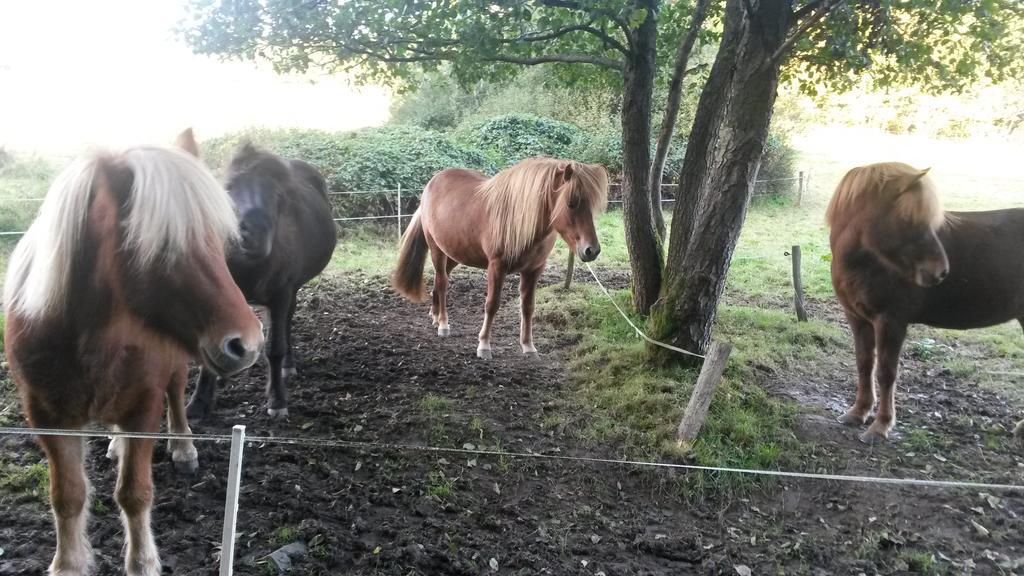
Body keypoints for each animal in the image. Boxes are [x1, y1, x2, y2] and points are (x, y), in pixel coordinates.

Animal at [4, 144, 264, 573]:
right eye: (163, 245)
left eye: (216, 239)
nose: (248, 344)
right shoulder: (48, 417)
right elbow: (67, 496)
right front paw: (69, 563)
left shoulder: (144, 406)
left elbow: (134, 493)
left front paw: (142, 562)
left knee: (177, 396)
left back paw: (183, 448)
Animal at [387, 154, 602, 356]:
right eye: (571, 203)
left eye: (592, 205)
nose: (592, 250)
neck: (519, 219)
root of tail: (432, 183)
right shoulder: (496, 267)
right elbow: (492, 304)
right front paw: (484, 345)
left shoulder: (533, 270)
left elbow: (528, 307)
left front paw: (528, 346)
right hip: (437, 249)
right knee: (442, 283)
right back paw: (443, 324)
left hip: (455, 254)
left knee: (440, 280)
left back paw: (434, 315)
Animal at [827, 161, 1024, 444]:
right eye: (909, 219)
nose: (941, 271)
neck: (867, 260)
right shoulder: (857, 318)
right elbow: (864, 364)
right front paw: (858, 412)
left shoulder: (891, 322)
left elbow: (886, 373)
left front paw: (881, 425)